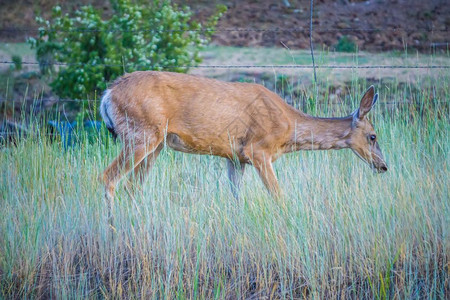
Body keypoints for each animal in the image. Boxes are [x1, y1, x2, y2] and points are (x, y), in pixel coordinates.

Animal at [100, 71, 388, 209]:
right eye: (373, 136)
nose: (384, 166)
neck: (289, 129)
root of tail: (108, 94)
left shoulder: (235, 157)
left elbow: (236, 198)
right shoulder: (258, 150)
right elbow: (278, 196)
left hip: (155, 144)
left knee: (132, 187)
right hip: (141, 134)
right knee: (108, 178)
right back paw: (114, 231)